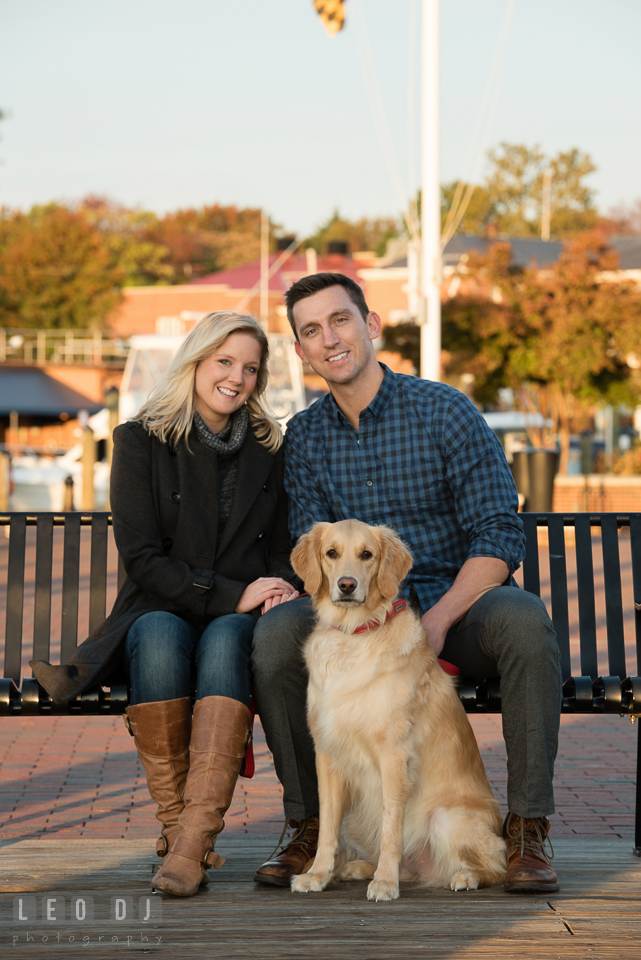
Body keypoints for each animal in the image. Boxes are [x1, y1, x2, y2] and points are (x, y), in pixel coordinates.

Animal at [288, 516, 504, 900]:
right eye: (331, 553)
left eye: (367, 554)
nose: (346, 585)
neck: (353, 635)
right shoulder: (327, 754)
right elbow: (327, 826)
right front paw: (317, 875)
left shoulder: (393, 755)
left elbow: (392, 824)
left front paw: (386, 882)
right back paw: (359, 868)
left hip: (446, 818)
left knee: (496, 866)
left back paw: (465, 876)